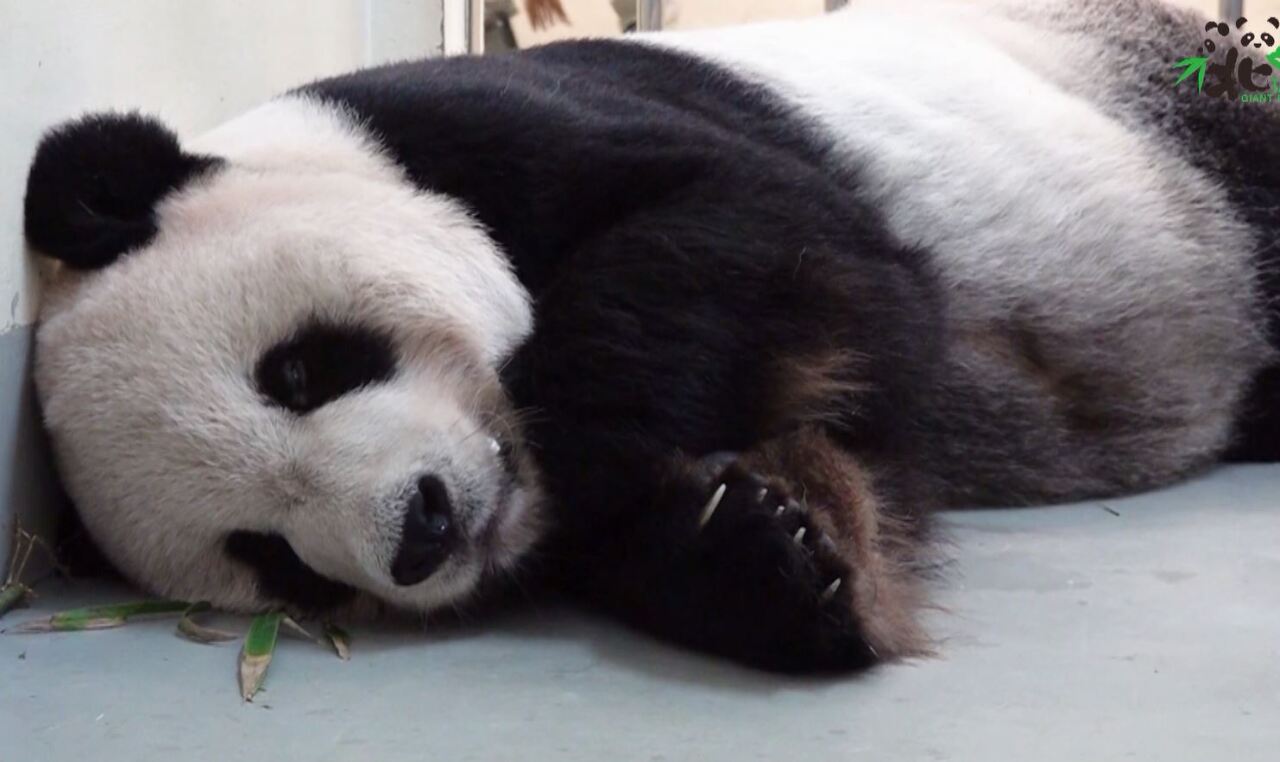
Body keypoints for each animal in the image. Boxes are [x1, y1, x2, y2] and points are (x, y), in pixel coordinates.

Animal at [21, 0, 1280, 673]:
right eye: (268, 555)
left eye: (301, 368)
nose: (423, 530)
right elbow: (868, 444)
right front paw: (760, 552)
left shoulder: (490, 126)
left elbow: (763, 235)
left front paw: (612, 466)